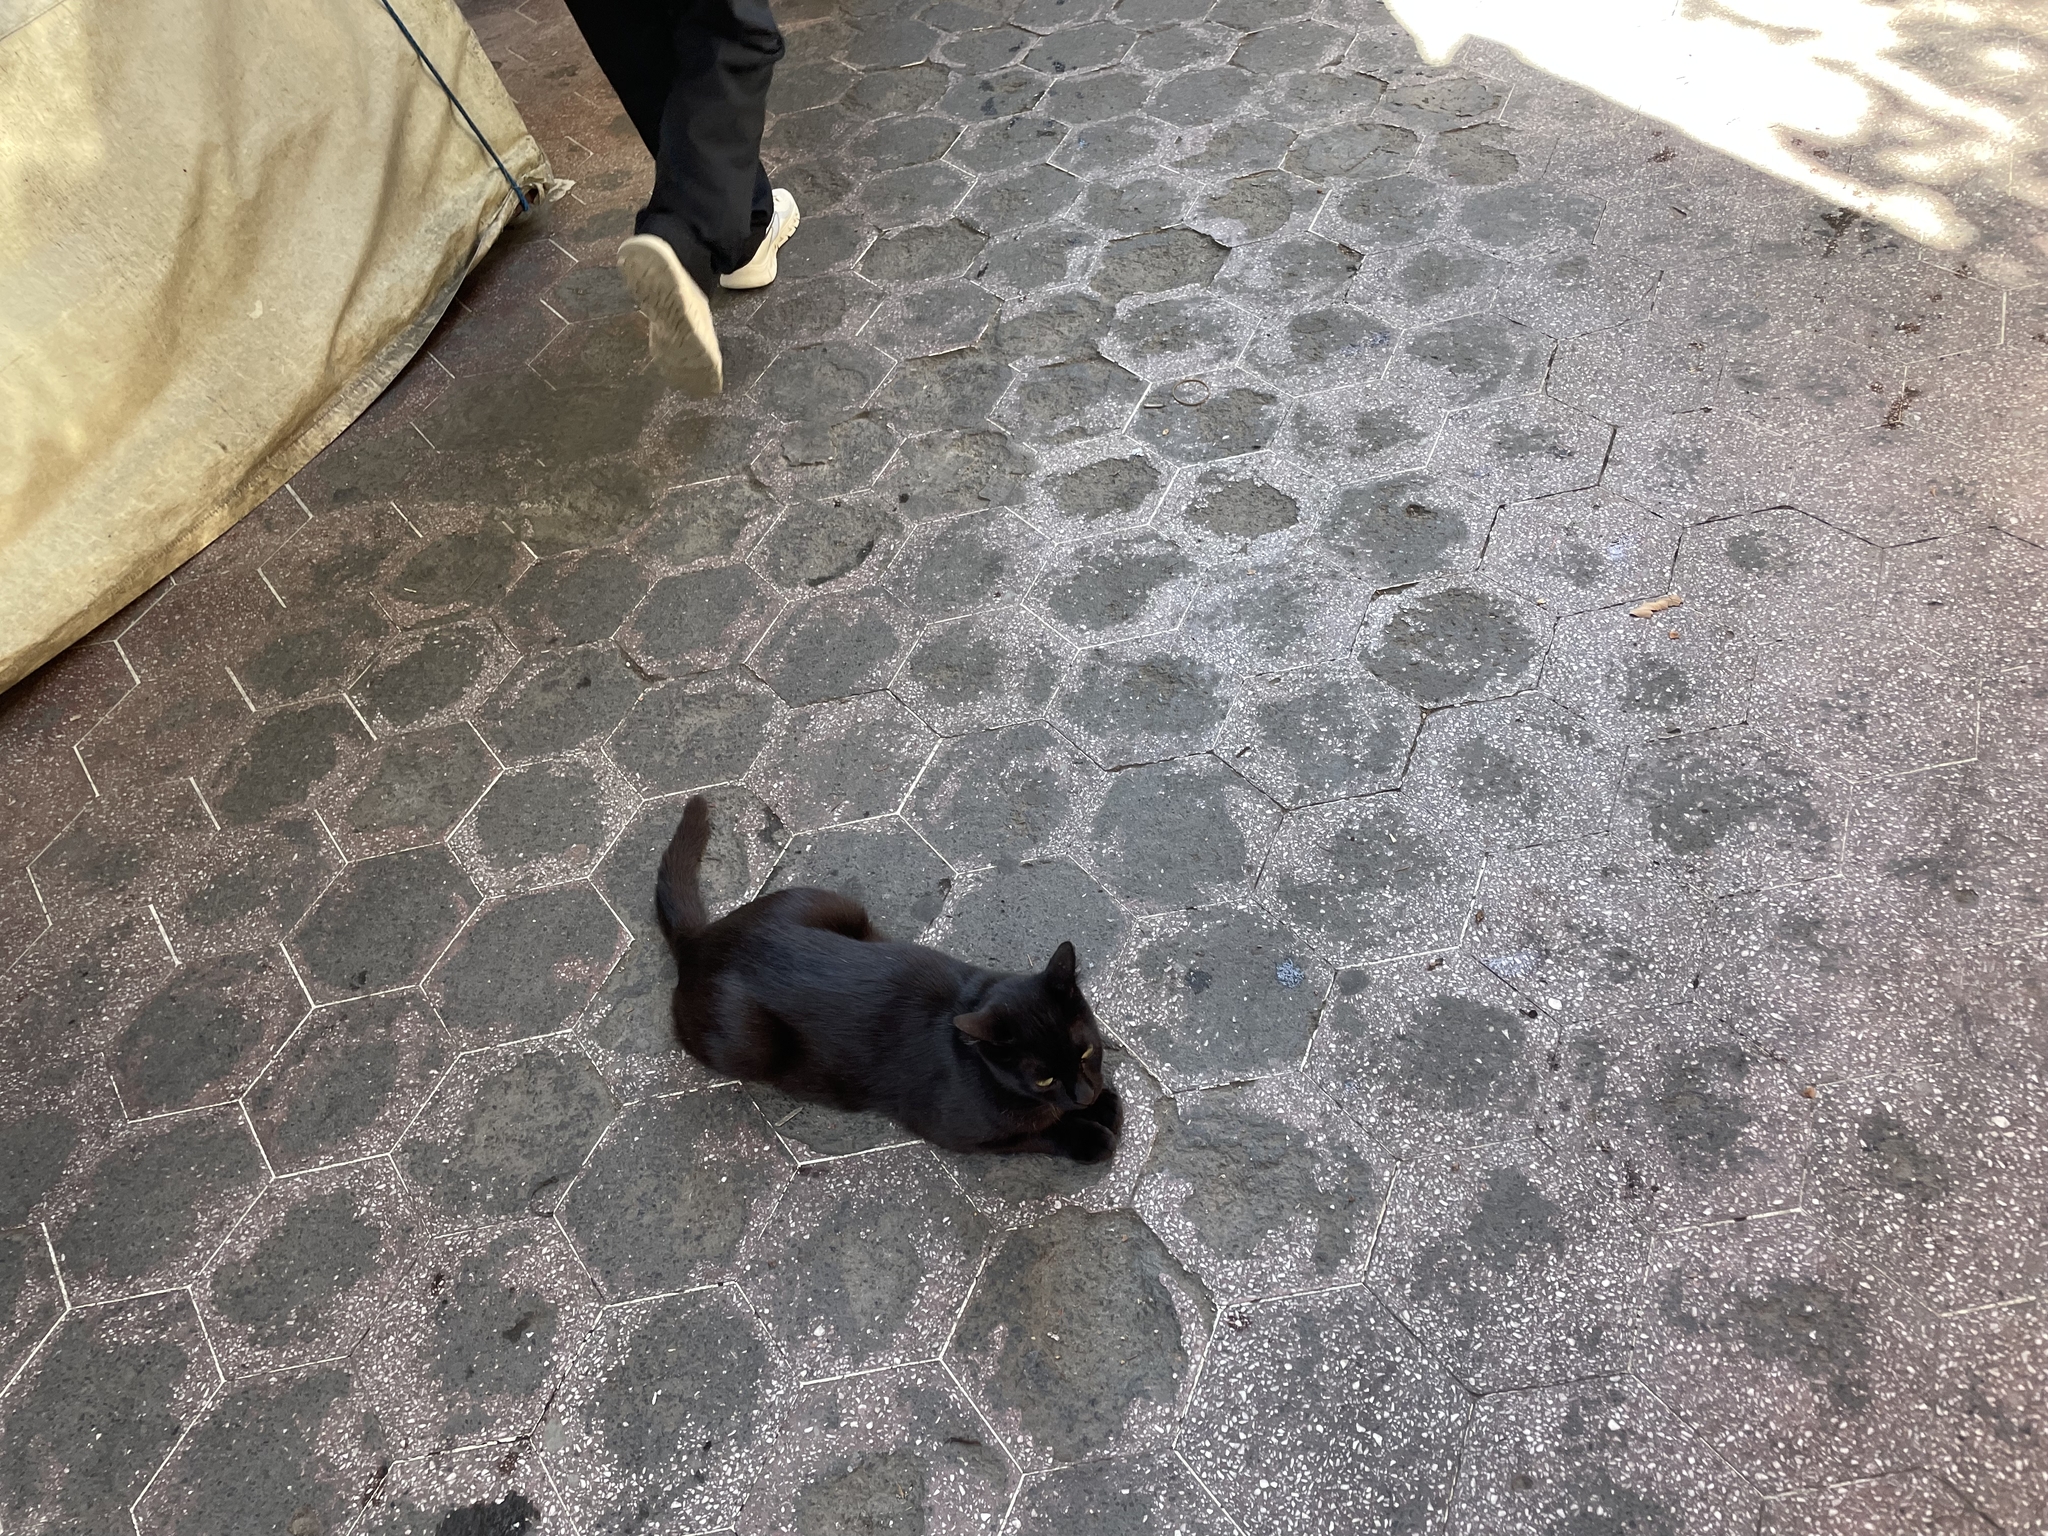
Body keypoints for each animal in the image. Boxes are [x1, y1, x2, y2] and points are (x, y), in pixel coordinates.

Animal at [651, 798, 1122, 1163]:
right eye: (1043, 1078)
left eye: (1085, 1052)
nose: (1083, 1095)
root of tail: (701, 940)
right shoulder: (961, 1133)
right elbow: (1036, 1133)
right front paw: (1090, 1133)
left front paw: (1104, 1103)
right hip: (745, 1045)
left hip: (839, 906)